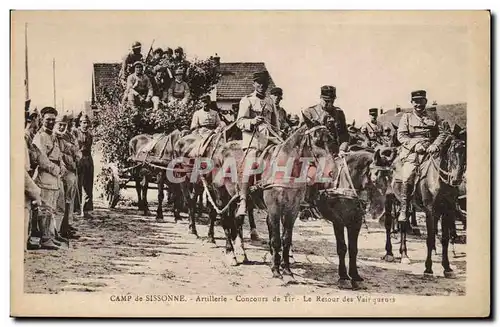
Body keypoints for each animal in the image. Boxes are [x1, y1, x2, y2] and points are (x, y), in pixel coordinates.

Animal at [380, 127, 466, 278]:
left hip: (404, 203)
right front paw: (428, 269)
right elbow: (430, 239)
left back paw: (404, 255)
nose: (456, 180)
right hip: (388, 197)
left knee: (403, 222)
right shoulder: (431, 211)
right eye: (451, 152)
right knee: (389, 224)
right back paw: (389, 253)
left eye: (464, 152)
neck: (437, 179)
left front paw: (447, 267)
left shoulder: (448, 211)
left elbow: (445, 239)